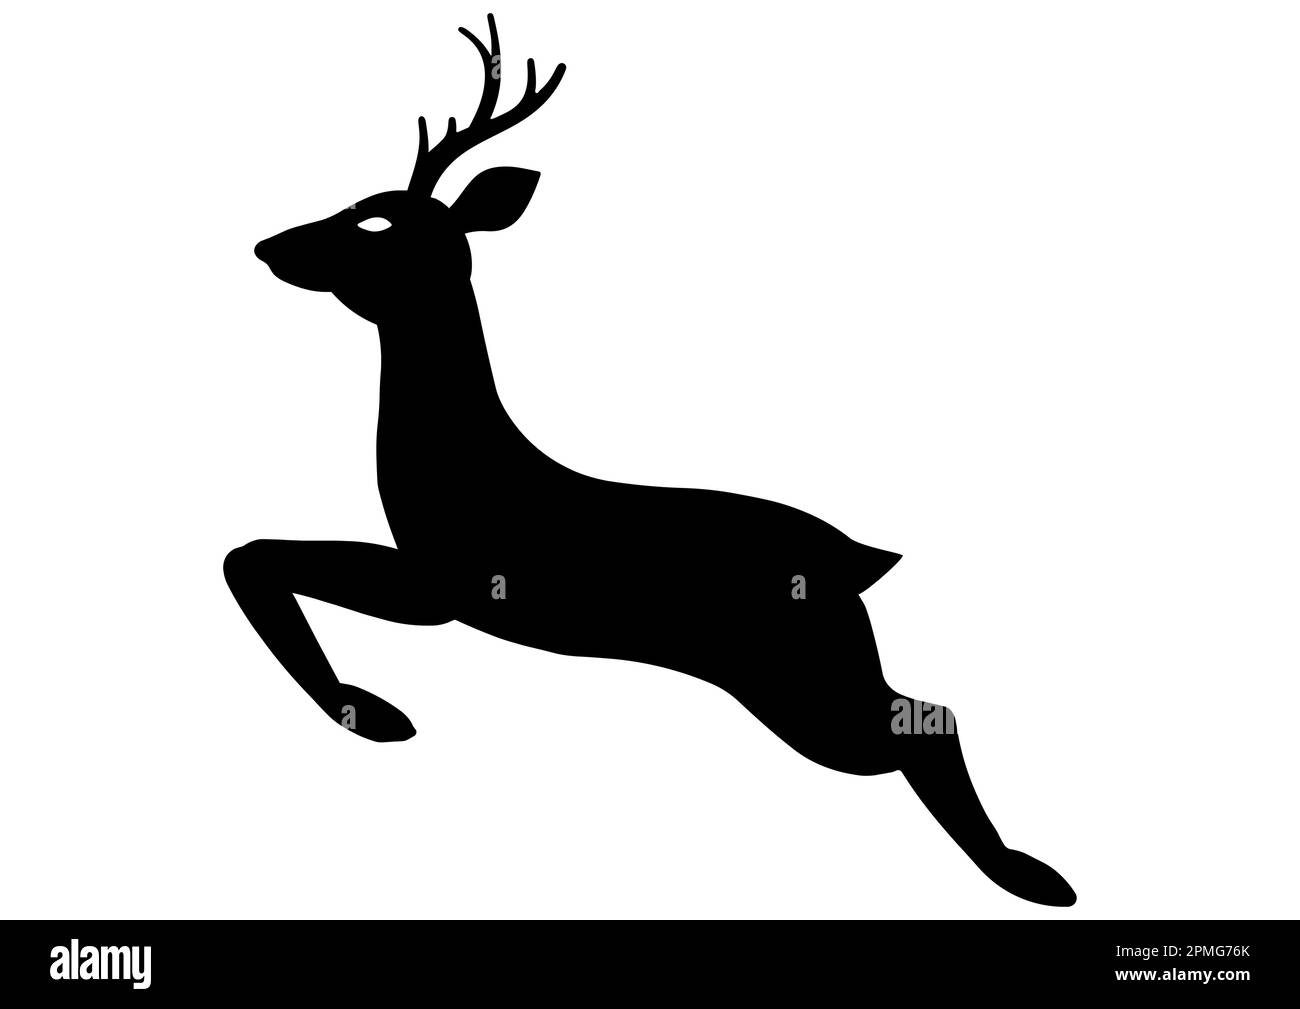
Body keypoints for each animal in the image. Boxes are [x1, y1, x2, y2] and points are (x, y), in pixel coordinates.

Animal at [226, 14, 1076, 907]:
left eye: (377, 222)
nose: (269, 245)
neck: (456, 457)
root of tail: (859, 564)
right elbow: (252, 555)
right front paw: (373, 709)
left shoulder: (446, 584)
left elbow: (252, 557)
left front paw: (371, 710)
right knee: (925, 710)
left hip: (800, 680)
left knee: (927, 720)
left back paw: (1032, 876)